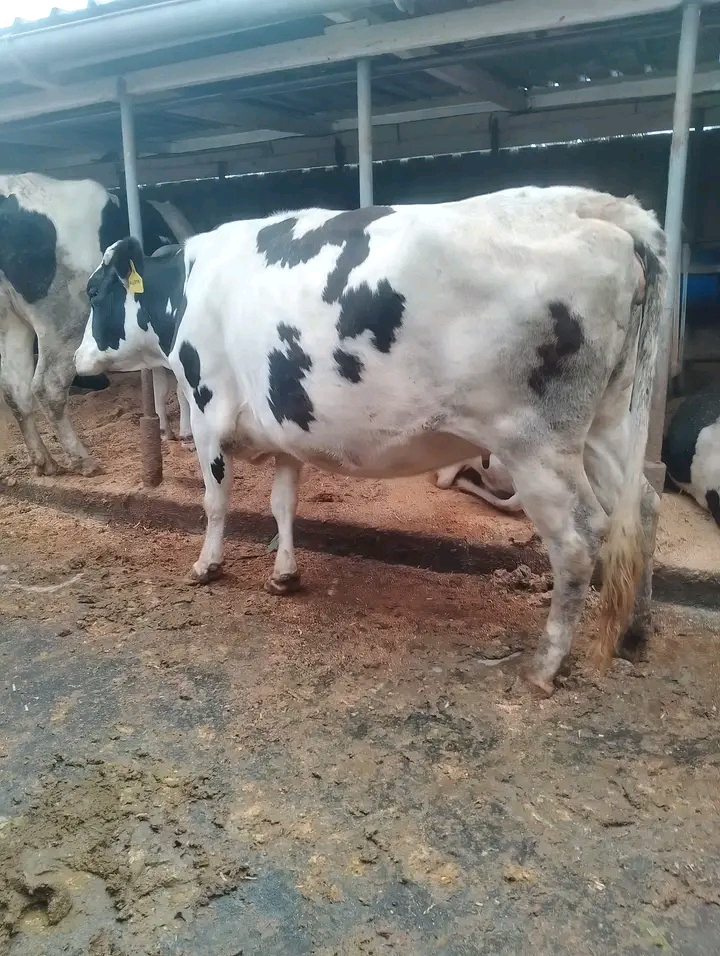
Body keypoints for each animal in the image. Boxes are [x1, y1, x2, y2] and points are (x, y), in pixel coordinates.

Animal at [0, 172, 194, 477]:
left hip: (10, 319)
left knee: (14, 389)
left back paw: (44, 461)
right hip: (65, 319)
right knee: (47, 386)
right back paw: (83, 460)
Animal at [74, 185, 666, 696]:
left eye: (95, 292)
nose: (79, 362)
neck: (189, 289)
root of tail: (594, 208)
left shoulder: (208, 414)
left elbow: (216, 503)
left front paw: (207, 567)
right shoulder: (284, 428)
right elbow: (283, 504)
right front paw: (284, 575)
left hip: (535, 444)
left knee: (579, 538)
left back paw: (545, 666)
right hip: (606, 424)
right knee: (643, 506)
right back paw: (634, 633)